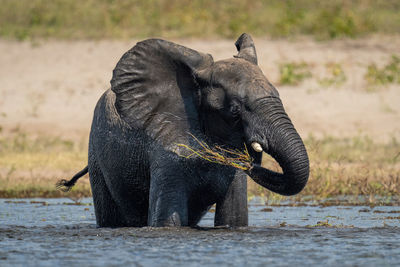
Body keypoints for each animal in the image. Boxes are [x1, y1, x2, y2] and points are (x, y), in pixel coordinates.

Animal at [58, 33, 310, 228]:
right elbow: (167, 221)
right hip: (96, 154)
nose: (253, 161)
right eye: (235, 110)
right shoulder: (166, 155)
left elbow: (233, 218)